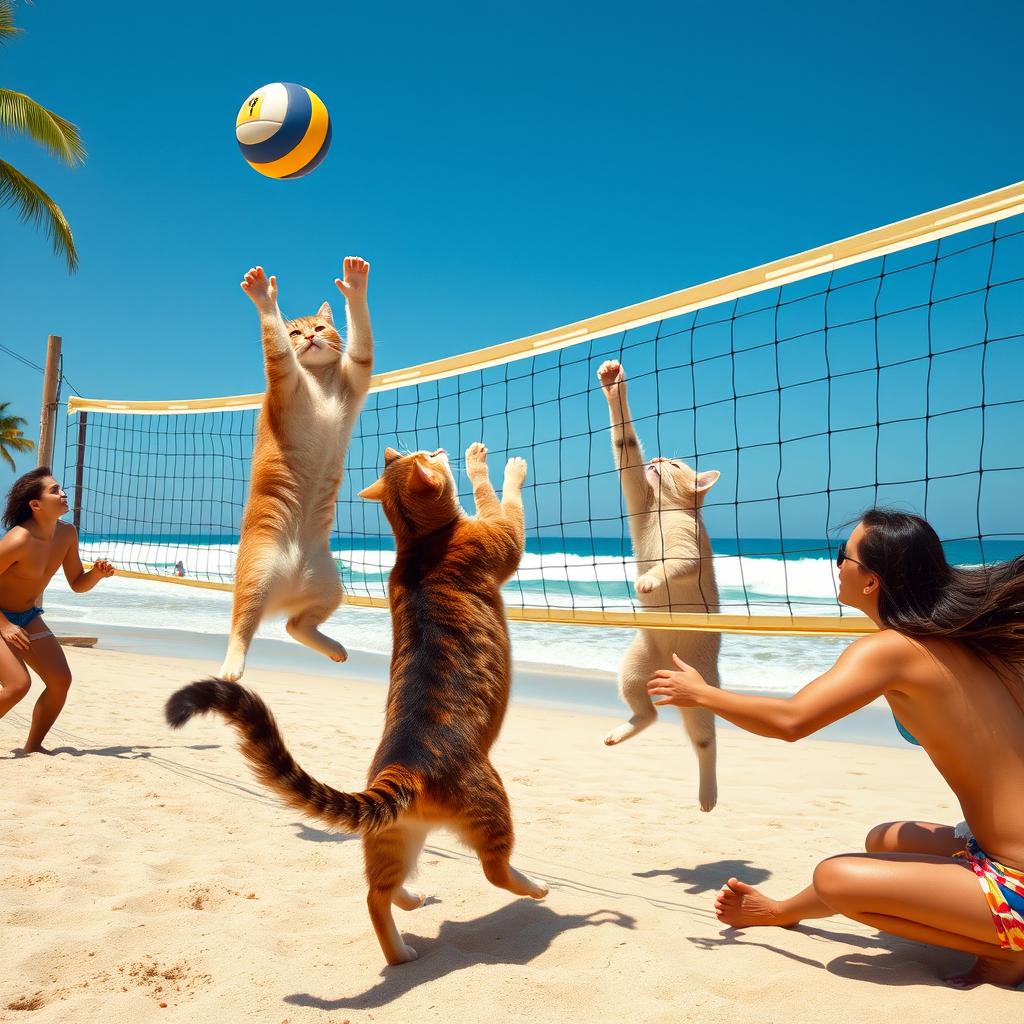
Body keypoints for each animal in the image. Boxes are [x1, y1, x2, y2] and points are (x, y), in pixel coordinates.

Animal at [164, 442, 548, 966]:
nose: (438, 447)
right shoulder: (500, 539)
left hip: (392, 836)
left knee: (375, 892)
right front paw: (489, 464)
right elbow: (498, 500)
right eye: (427, 455)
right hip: (490, 804)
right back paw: (535, 889)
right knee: (492, 870)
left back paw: (402, 933)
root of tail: (406, 767)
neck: (418, 543)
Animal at [220, 260, 376, 684]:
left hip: (329, 587)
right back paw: (232, 666)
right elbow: (276, 351)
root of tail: (285, 590)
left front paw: (355, 286)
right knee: (241, 626)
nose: (308, 336)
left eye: (320, 328)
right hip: (257, 575)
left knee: (296, 625)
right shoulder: (283, 377)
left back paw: (331, 646)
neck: (318, 380)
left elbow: (361, 346)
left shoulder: (357, 372)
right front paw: (264, 298)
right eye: (293, 332)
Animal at [598, 356, 724, 811]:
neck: (664, 510)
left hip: (699, 688)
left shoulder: (688, 549)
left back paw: (708, 791)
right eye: (661, 459)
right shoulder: (639, 495)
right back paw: (628, 727)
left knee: (706, 742)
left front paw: (650, 580)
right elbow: (625, 447)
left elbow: (674, 566)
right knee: (648, 714)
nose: (657, 459)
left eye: (674, 465)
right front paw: (613, 382)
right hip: (635, 669)